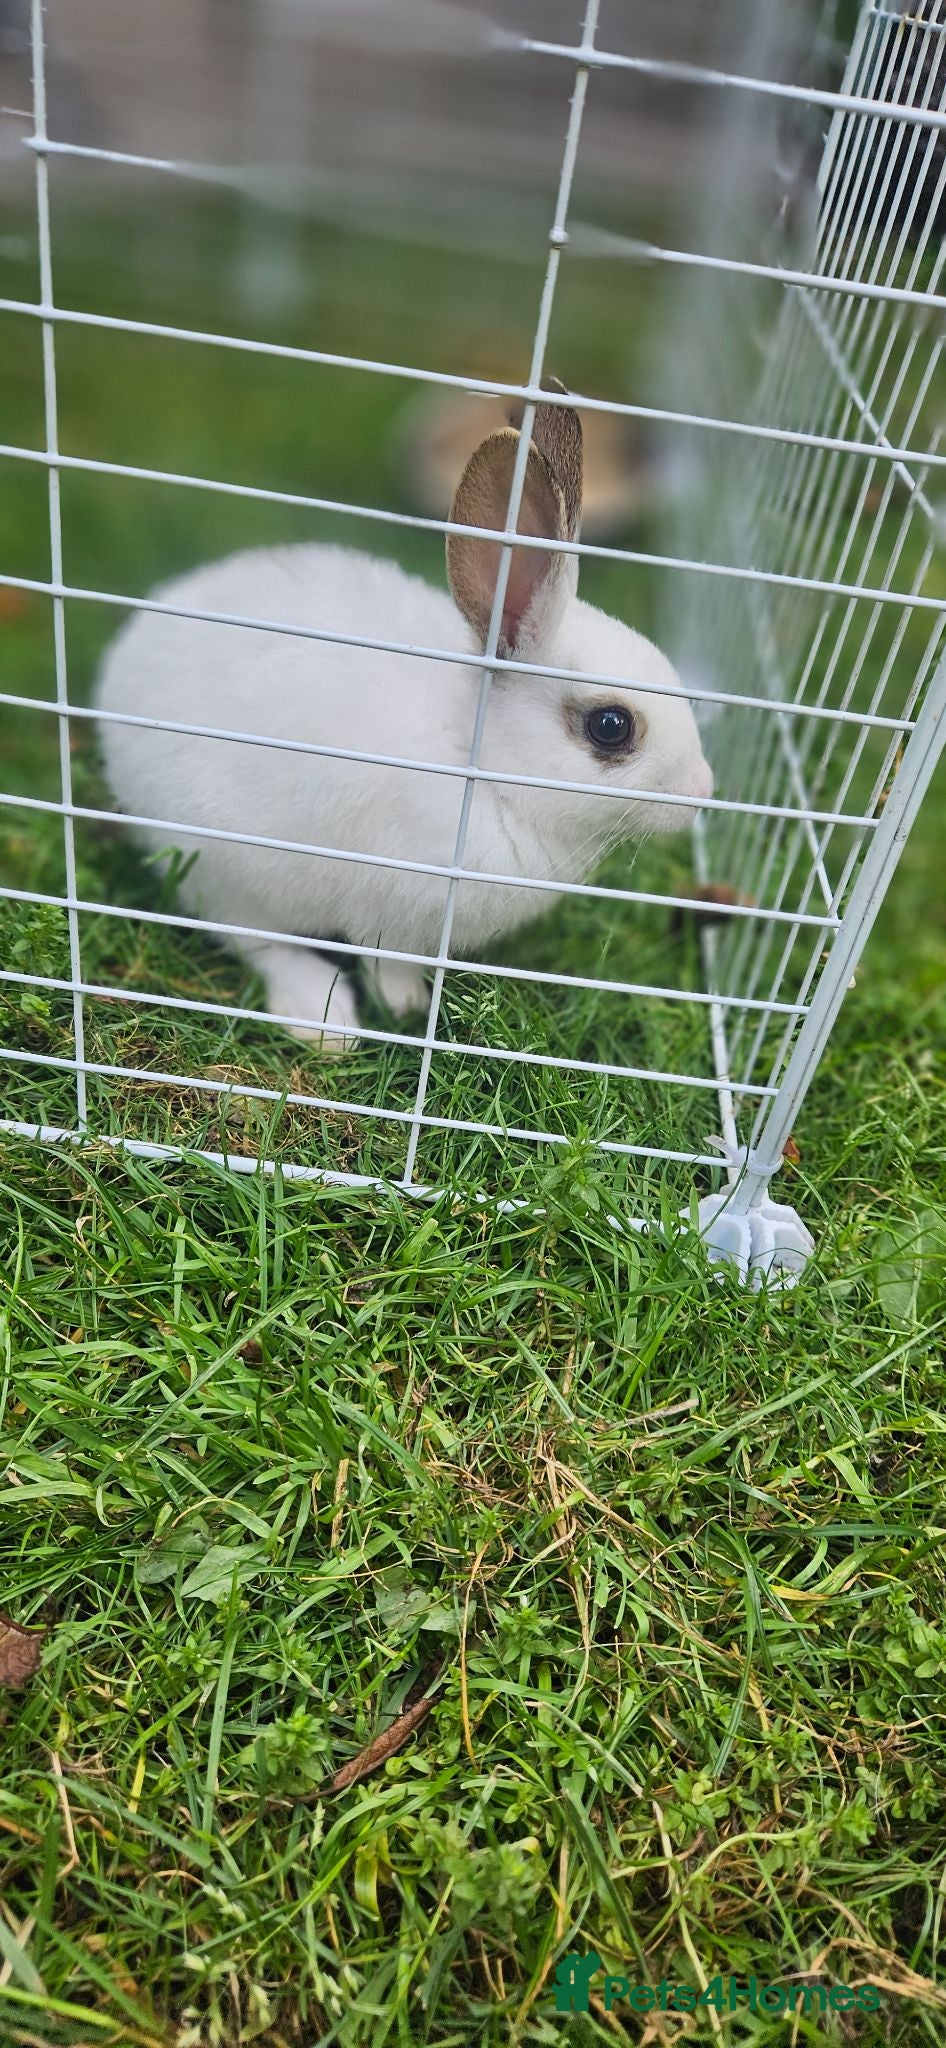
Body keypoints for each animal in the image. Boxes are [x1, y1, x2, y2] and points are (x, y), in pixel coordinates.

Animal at [97, 388, 714, 1046]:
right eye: (610, 726)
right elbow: (377, 956)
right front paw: (404, 1004)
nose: (703, 791)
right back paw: (325, 1024)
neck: (477, 761)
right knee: (255, 940)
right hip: (224, 866)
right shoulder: (385, 905)